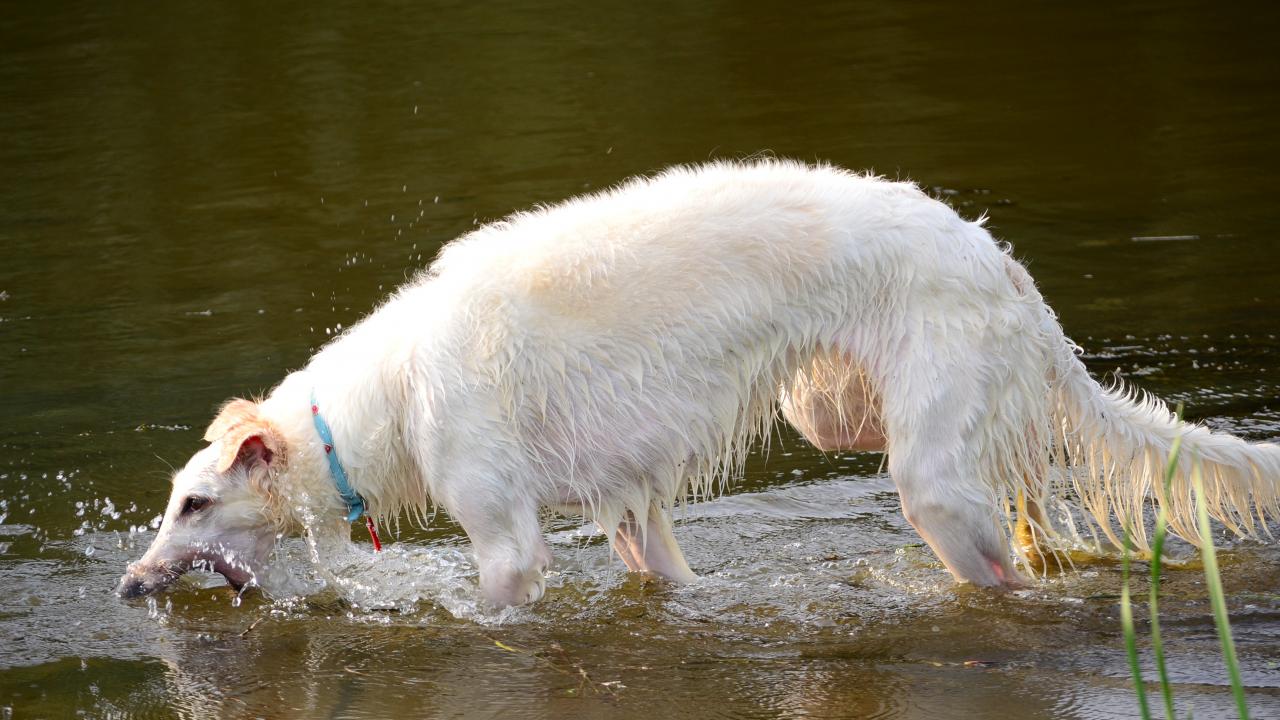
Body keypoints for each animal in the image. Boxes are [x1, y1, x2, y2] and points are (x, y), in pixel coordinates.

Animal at [116, 160, 1280, 607]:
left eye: (194, 503)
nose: (128, 587)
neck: (385, 397)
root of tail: (999, 260)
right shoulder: (635, 517)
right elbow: (664, 568)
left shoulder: (505, 538)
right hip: (837, 412)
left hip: (933, 486)